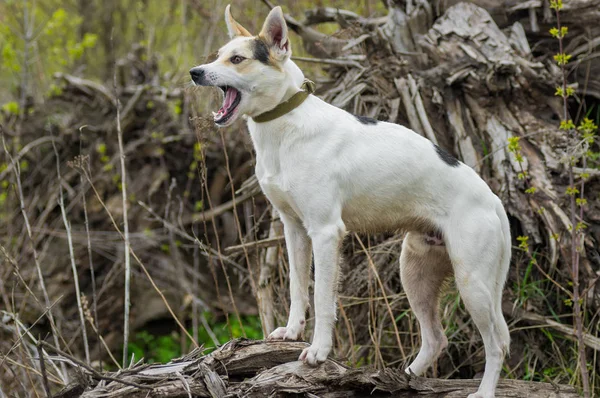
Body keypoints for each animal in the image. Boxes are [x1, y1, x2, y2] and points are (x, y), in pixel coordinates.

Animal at [190, 5, 508, 394]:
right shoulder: (294, 230)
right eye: (219, 54)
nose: (194, 72)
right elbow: (298, 289)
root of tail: (492, 199)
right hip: (415, 272)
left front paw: (318, 351)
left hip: (472, 282)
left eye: (238, 59)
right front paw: (292, 332)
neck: (285, 124)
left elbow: (322, 299)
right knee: (436, 339)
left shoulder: (326, 233)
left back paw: (484, 390)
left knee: (496, 345)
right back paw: (402, 377)